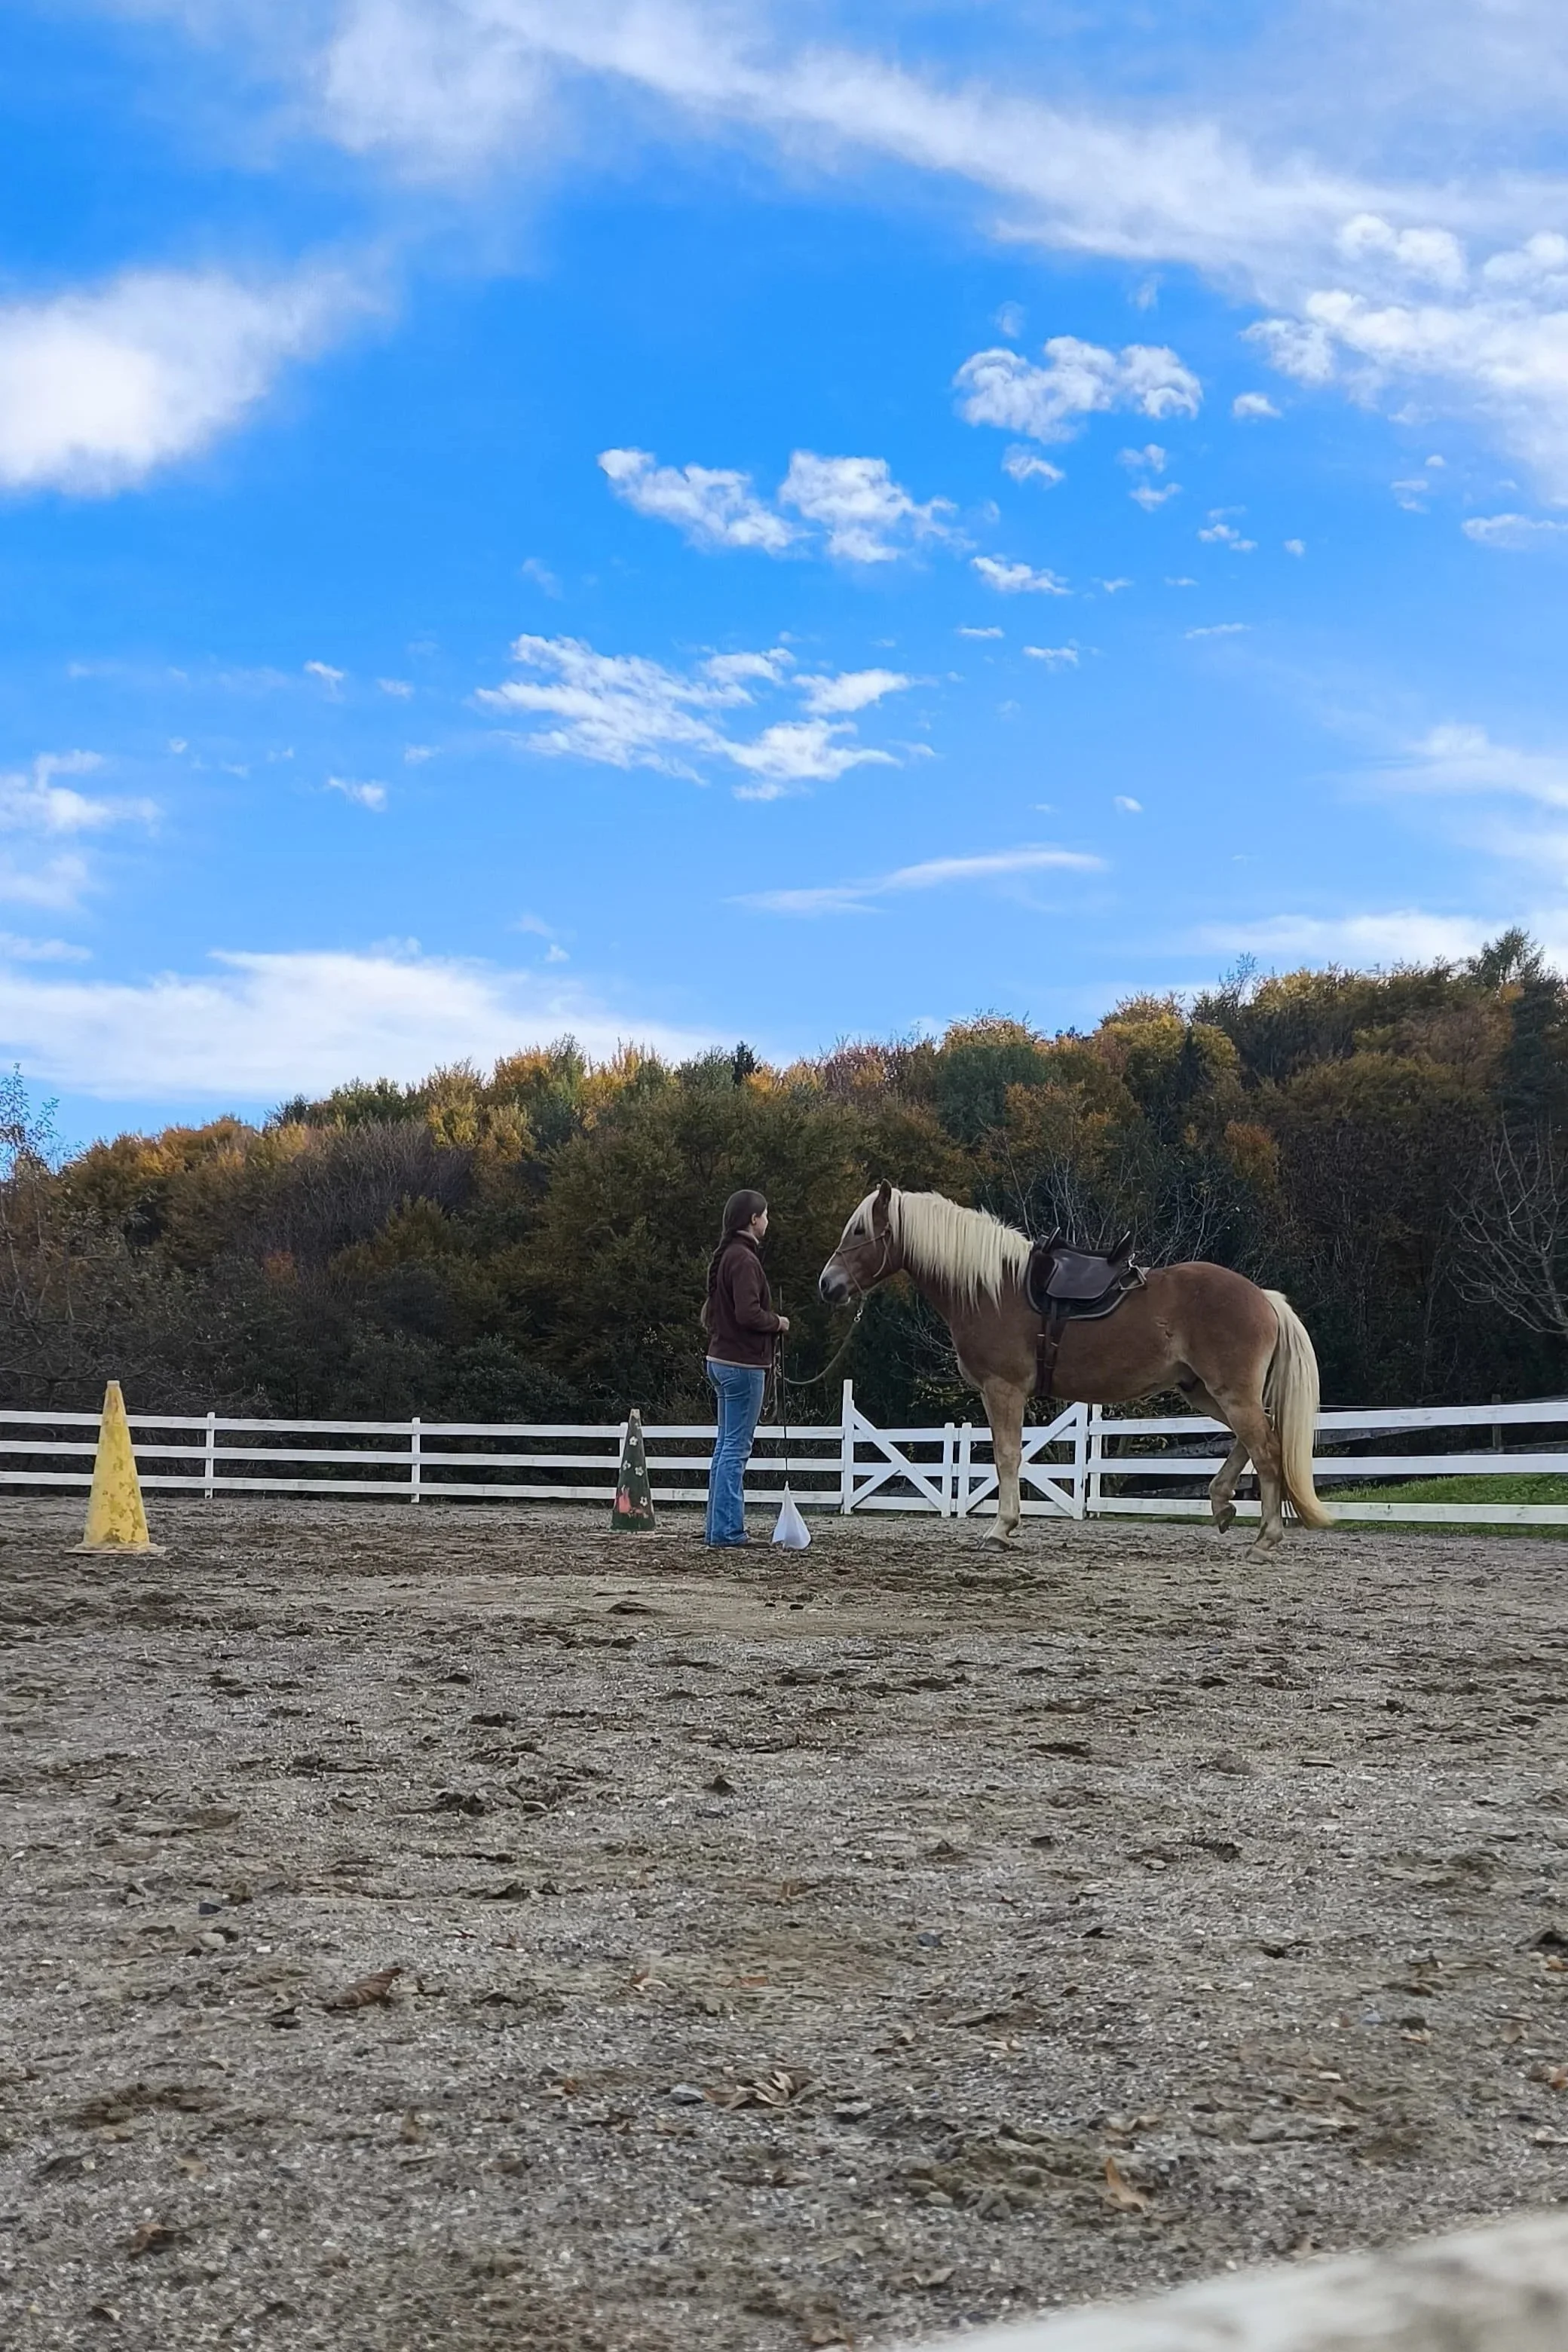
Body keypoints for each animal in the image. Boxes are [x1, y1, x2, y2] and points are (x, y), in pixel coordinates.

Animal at [817, 1181, 1331, 1551]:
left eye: (860, 1232)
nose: (828, 1285)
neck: (991, 1288)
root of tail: (1263, 1297)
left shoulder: (1002, 1390)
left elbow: (1007, 1456)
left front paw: (1001, 1529)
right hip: (1204, 1392)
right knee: (1256, 1439)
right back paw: (1224, 1506)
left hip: (1229, 1392)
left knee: (1265, 1449)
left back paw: (1265, 1538)